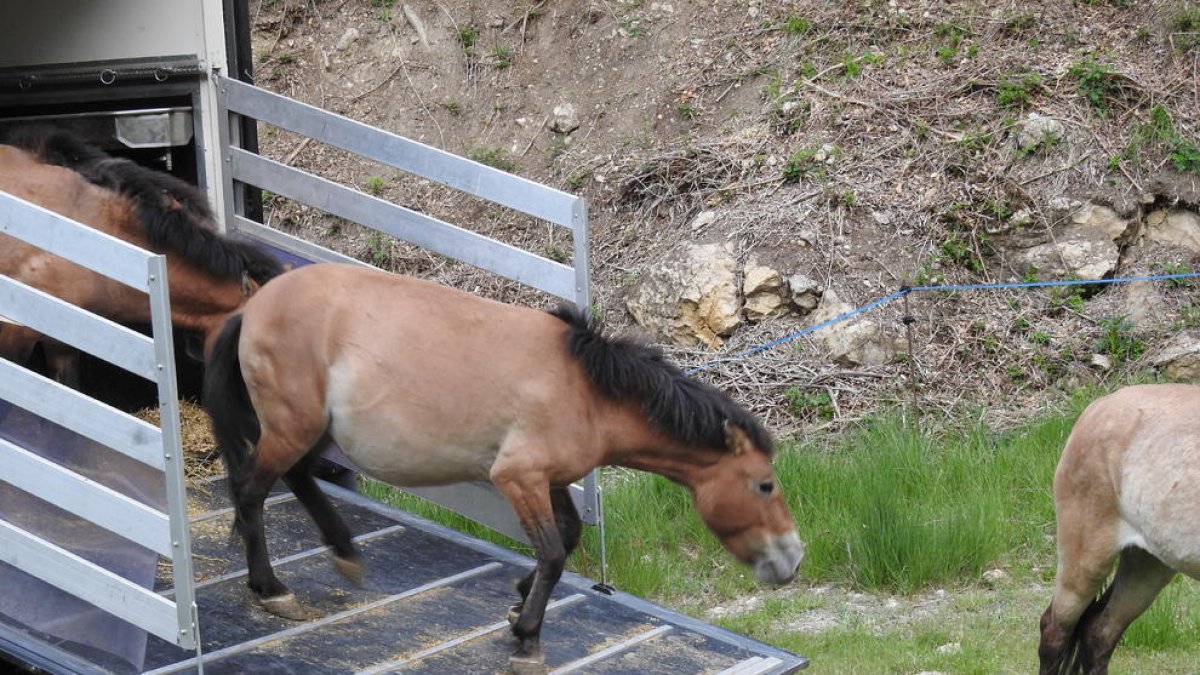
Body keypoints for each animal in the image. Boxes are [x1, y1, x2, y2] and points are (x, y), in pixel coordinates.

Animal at [204, 263, 806, 672]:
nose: (793, 560)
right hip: (292, 427)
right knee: (251, 489)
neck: (588, 392)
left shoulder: (549, 481)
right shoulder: (519, 479)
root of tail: (252, 306)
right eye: (764, 485)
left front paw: (519, 606)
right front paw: (529, 639)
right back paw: (271, 589)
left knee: (297, 477)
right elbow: (554, 554)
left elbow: (564, 539)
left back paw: (345, 551)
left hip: (307, 430)